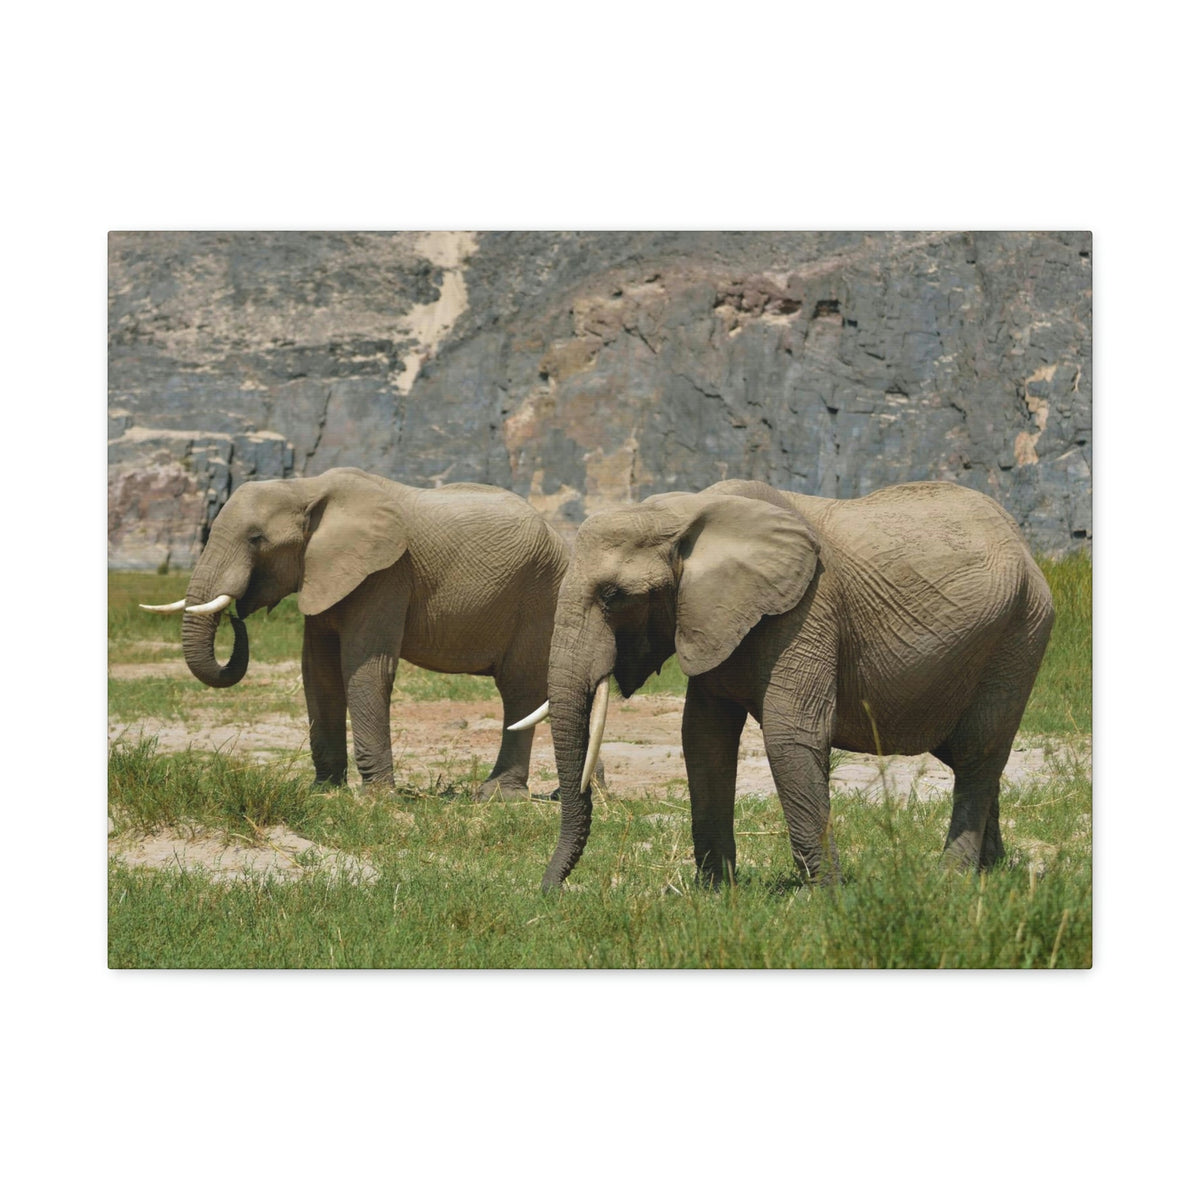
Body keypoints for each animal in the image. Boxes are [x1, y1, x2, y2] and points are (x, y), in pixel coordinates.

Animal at [141, 467, 568, 798]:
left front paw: (377, 797)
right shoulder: (324, 573)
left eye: (256, 538)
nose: (237, 616)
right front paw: (324, 791)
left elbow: (366, 669)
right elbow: (319, 672)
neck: (305, 487)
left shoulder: (386, 573)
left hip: (541, 594)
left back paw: (497, 796)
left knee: (518, 690)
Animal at [516, 478, 1055, 891]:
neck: (686, 513)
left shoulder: (807, 609)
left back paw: (952, 880)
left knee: (978, 752)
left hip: (1021, 632)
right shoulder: (714, 617)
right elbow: (703, 738)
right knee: (971, 756)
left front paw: (829, 897)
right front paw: (715, 894)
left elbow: (789, 736)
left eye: (612, 596)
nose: (550, 892)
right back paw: (991, 871)